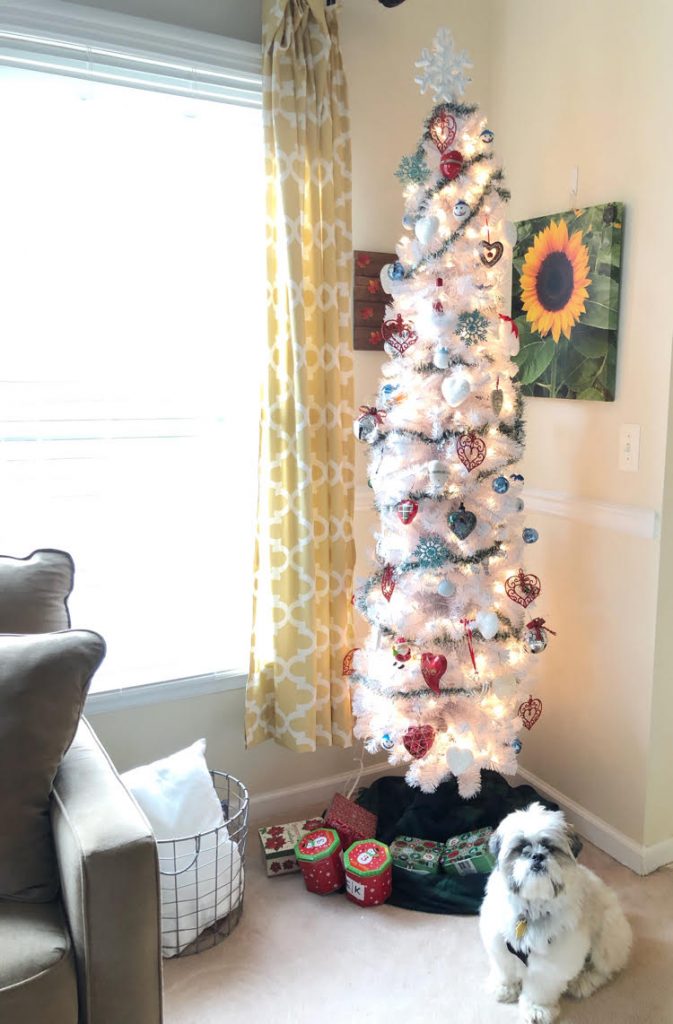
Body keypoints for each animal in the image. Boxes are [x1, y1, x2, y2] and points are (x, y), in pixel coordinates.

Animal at [477, 802, 631, 1019]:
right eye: (520, 848)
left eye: (550, 848)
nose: (537, 856)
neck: (531, 910)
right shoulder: (499, 943)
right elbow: (505, 970)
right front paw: (505, 988)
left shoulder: (551, 963)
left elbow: (539, 989)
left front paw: (536, 1009)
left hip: (607, 937)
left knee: (604, 969)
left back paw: (582, 981)